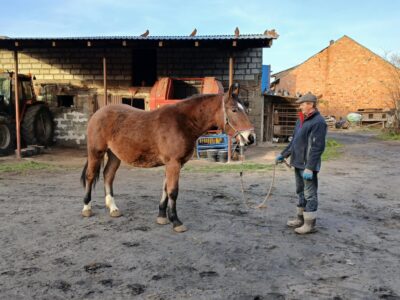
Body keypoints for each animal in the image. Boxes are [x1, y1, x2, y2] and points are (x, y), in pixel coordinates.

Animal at [81, 84, 255, 232]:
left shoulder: (173, 164)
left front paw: (162, 217)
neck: (182, 123)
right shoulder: (173, 163)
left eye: (245, 108)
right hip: (96, 152)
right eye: (234, 110)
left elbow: (165, 189)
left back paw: (113, 208)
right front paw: (176, 221)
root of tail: (98, 113)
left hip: (114, 155)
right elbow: (173, 191)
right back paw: (87, 208)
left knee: (108, 175)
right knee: (90, 176)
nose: (250, 137)